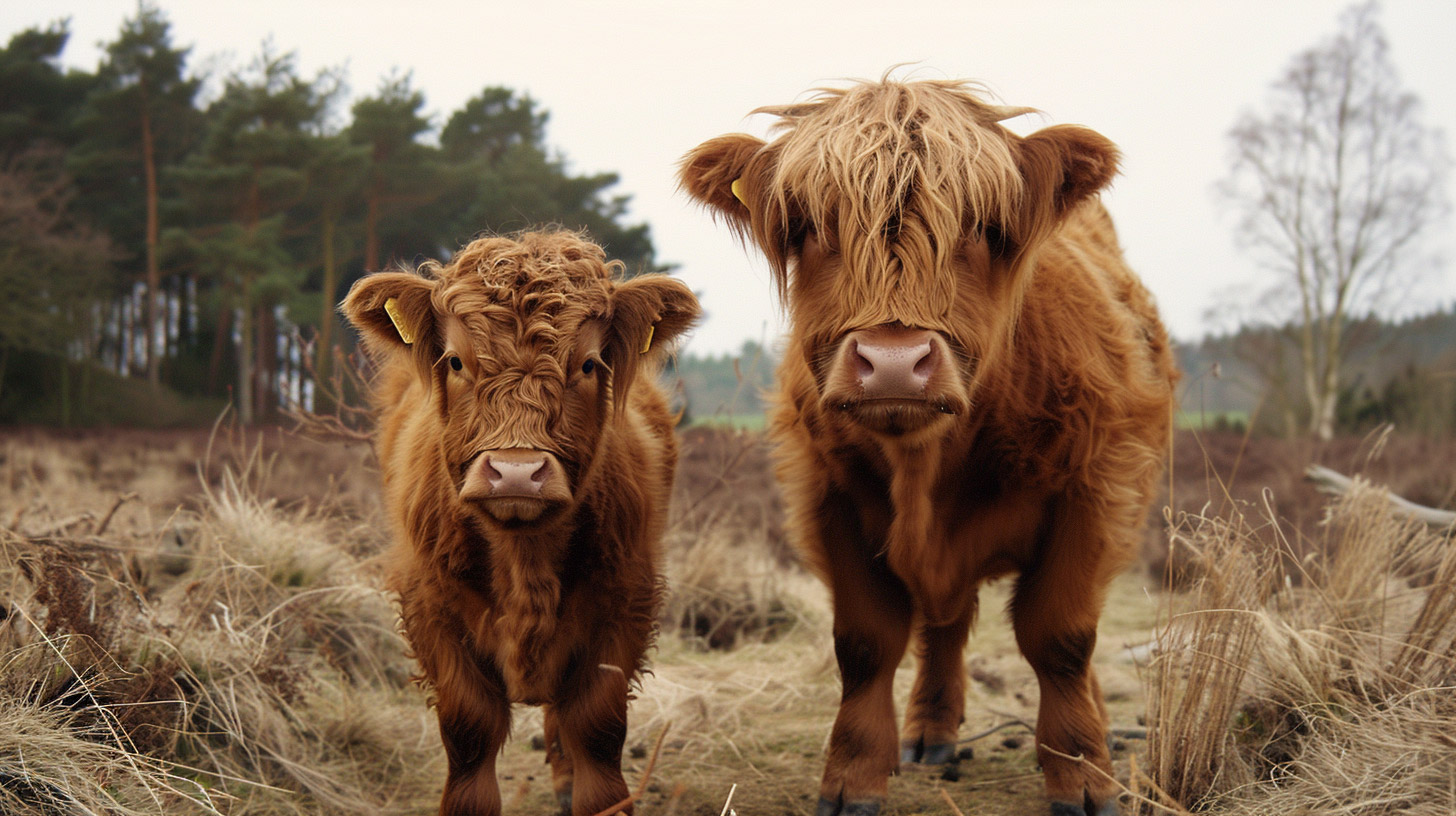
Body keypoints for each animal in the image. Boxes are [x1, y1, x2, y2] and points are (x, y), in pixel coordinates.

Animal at [343, 231, 701, 816]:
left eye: (588, 365)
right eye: (456, 361)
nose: (516, 472)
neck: (524, 557)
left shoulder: (627, 599)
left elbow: (596, 728)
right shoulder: (429, 604)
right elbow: (470, 729)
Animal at [684, 77, 1182, 816]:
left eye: (983, 229)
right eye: (810, 227)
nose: (894, 363)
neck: (925, 462)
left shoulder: (1095, 490)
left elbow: (1061, 635)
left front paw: (1083, 777)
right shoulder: (827, 497)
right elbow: (865, 642)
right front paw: (853, 777)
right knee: (944, 626)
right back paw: (930, 733)